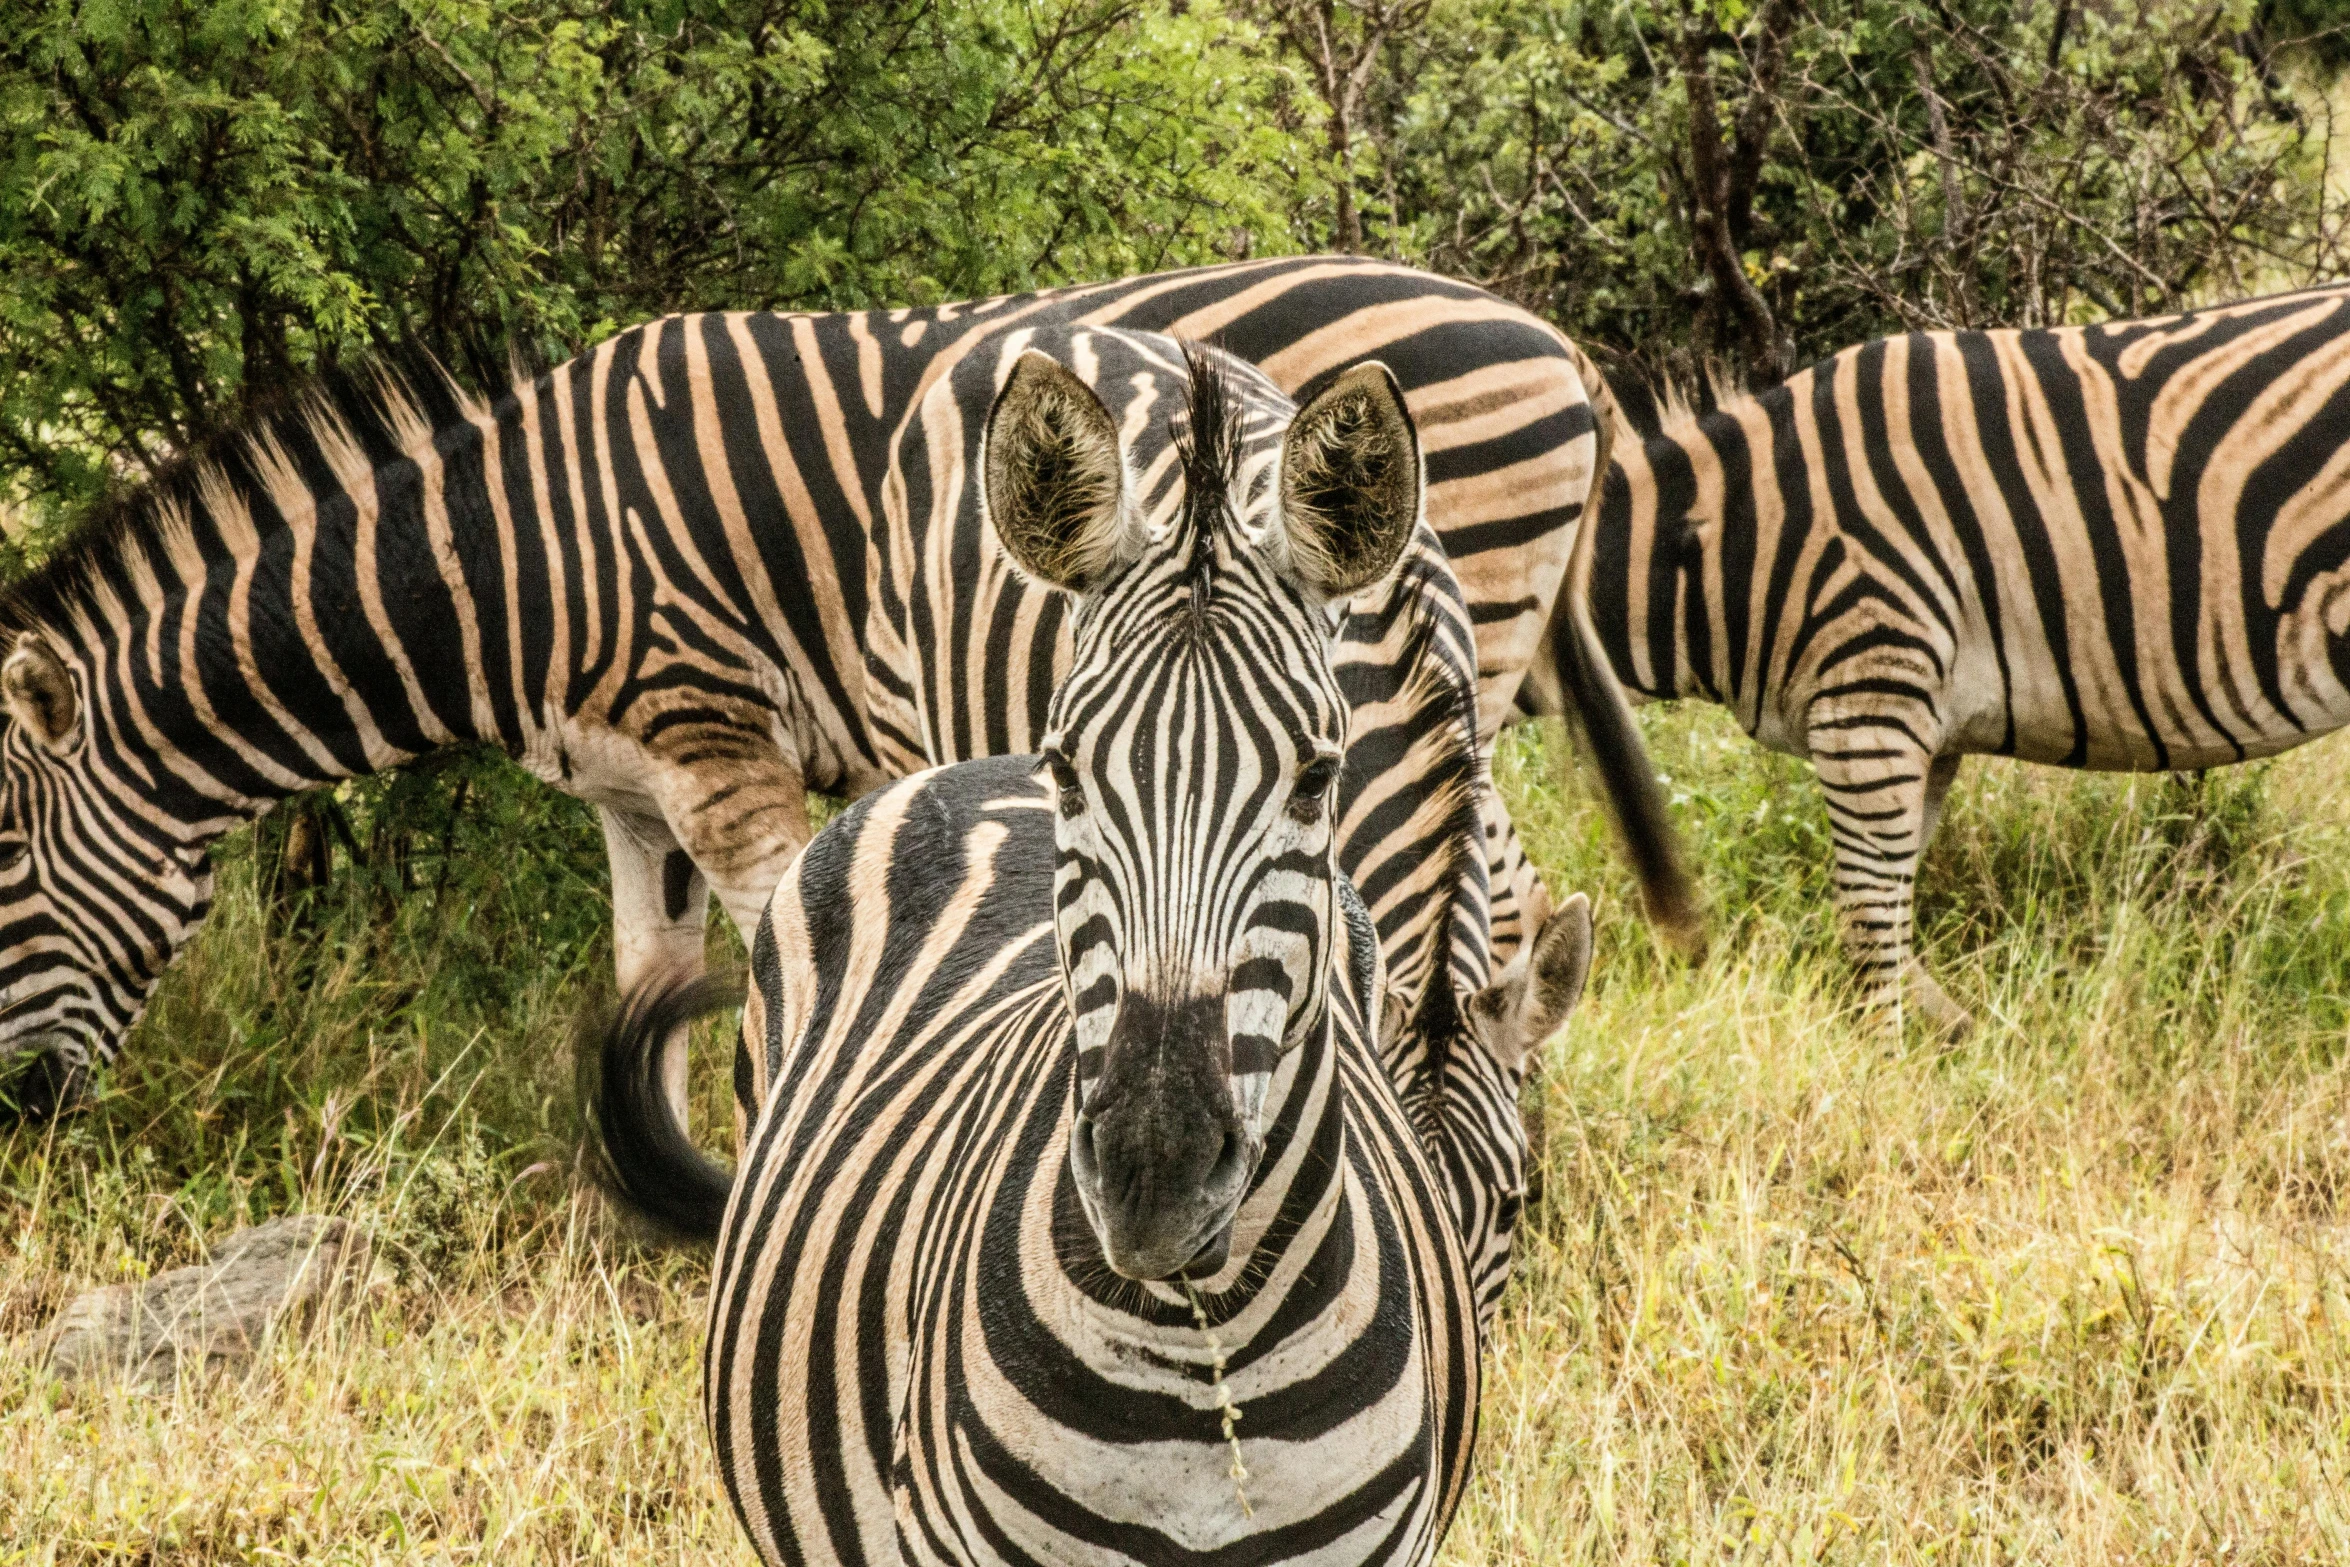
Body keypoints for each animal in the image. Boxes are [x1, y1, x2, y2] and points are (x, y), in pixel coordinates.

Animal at [0, 254, 1691, 1113]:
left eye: (3, 869)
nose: (20, 1119)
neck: (517, 551)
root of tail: (1558, 345)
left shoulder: (716, 744)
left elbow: (780, 969)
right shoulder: (629, 798)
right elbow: (651, 984)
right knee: (1496, 915)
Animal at [1522, 278, 2350, 1043]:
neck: (1726, 543)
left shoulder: (1868, 698)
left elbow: (1868, 920)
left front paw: (1877, 1072)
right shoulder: (1920, 725)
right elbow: (1883, 910)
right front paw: (1959, 1034)